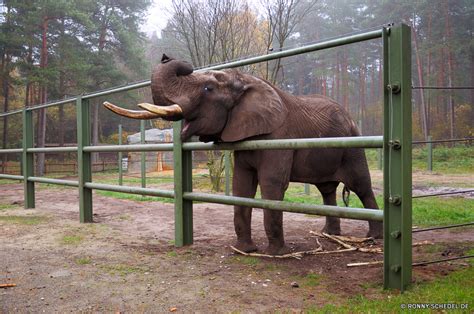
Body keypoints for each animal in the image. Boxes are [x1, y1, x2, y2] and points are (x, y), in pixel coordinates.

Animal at [103, 54, 382, 255]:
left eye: (208, 88)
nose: (166, 57)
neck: (246, 80)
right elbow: (242, 185)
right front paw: (244, 250)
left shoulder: (278, 138)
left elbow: (272, 185)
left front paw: (277, 254)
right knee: (326, 189)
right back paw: (329, 235)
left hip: (353, 145)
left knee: (362, 185)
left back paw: (372, 238)